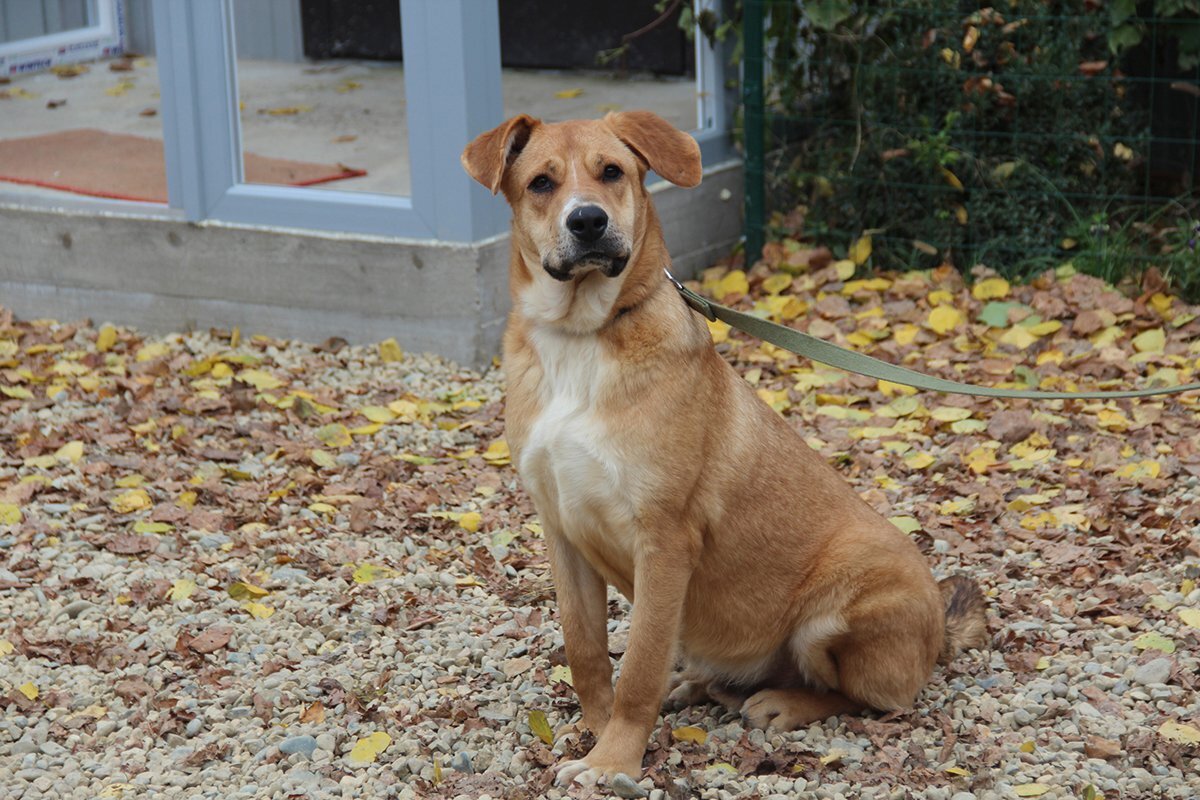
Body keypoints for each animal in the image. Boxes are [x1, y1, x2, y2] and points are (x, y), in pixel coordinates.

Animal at [458, 110, 984, 786]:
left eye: (612, 172)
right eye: (541, 183)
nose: (588, 221)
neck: (581, 337)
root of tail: (938, 632)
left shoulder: (663, 542)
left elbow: (640, 666)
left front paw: (614, 759)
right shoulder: (562, 531)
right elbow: (586, 651)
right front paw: (595, 731)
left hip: (834, 614)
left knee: (869, 697)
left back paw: (783, 703)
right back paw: (703, 686)